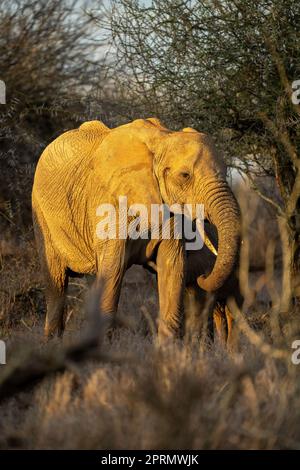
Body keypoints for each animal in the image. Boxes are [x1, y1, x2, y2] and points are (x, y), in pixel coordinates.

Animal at [31, 115, 240, 340]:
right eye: (185, 175)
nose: (203, 276)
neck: (163, 140)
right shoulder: (110, 203)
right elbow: (113, 270)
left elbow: (172, 266)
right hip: (41, 214)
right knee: (56, 283)